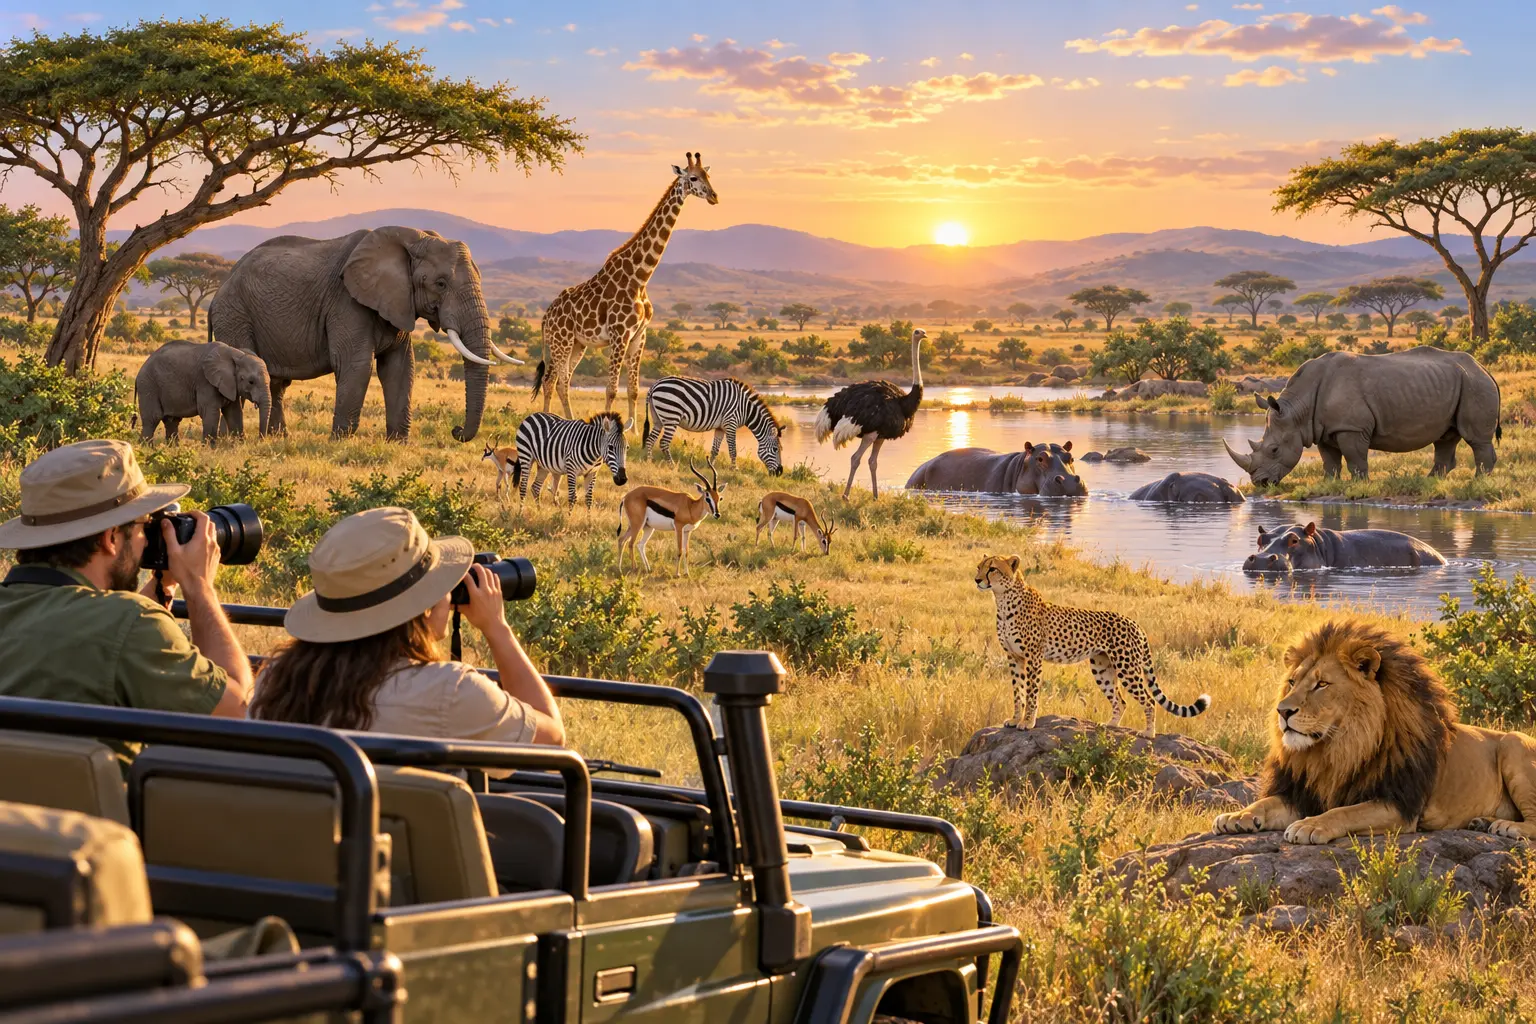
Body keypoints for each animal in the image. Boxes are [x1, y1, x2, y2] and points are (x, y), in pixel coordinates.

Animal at [135, 340, 272, 443]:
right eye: (251, 382)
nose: (260, 440)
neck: (236, 354)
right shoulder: (205, 382)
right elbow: (210, 412)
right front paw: (209, 449)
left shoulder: (230, 385)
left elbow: (234, 413)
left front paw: (239, 445)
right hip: (148, 386)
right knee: (153, 418)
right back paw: (147, 449)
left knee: (172, 421)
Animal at [208, 226, 521, 443]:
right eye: (441, 284)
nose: (456, 431)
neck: (412, 239)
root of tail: (216, 295)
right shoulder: (346, 301)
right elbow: (356, 364)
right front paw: (340, 442)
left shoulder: (398, 303)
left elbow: (400, 367)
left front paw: (398, 444)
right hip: (234, 314)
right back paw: (230, 440)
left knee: (275, 382)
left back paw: (275, 438)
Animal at [643, 376, 784, 475]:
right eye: (775, 449)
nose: (780, 472)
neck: (746, 408)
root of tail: (654, 385)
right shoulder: (730, 423)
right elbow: (733, 450)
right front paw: (735, 469)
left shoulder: (720, 428)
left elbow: (715, 449)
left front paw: (710, 466)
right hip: (671, 416)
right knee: (663, 443)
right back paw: (672, 466)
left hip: (659, 419)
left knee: (650, 440)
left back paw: (649, 462)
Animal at [1213, 619, 1536, 845]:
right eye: (1292, 682)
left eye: (1322, 684)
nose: (1283, 711)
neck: (1339, 748)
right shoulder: (1304, 793)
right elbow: (1265, 802)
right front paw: (1237, 816)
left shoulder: (1399, 805)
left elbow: (1344, 811)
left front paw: (1310, 825)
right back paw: (1482, 822)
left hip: (1514, 744)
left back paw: (1506, 826)